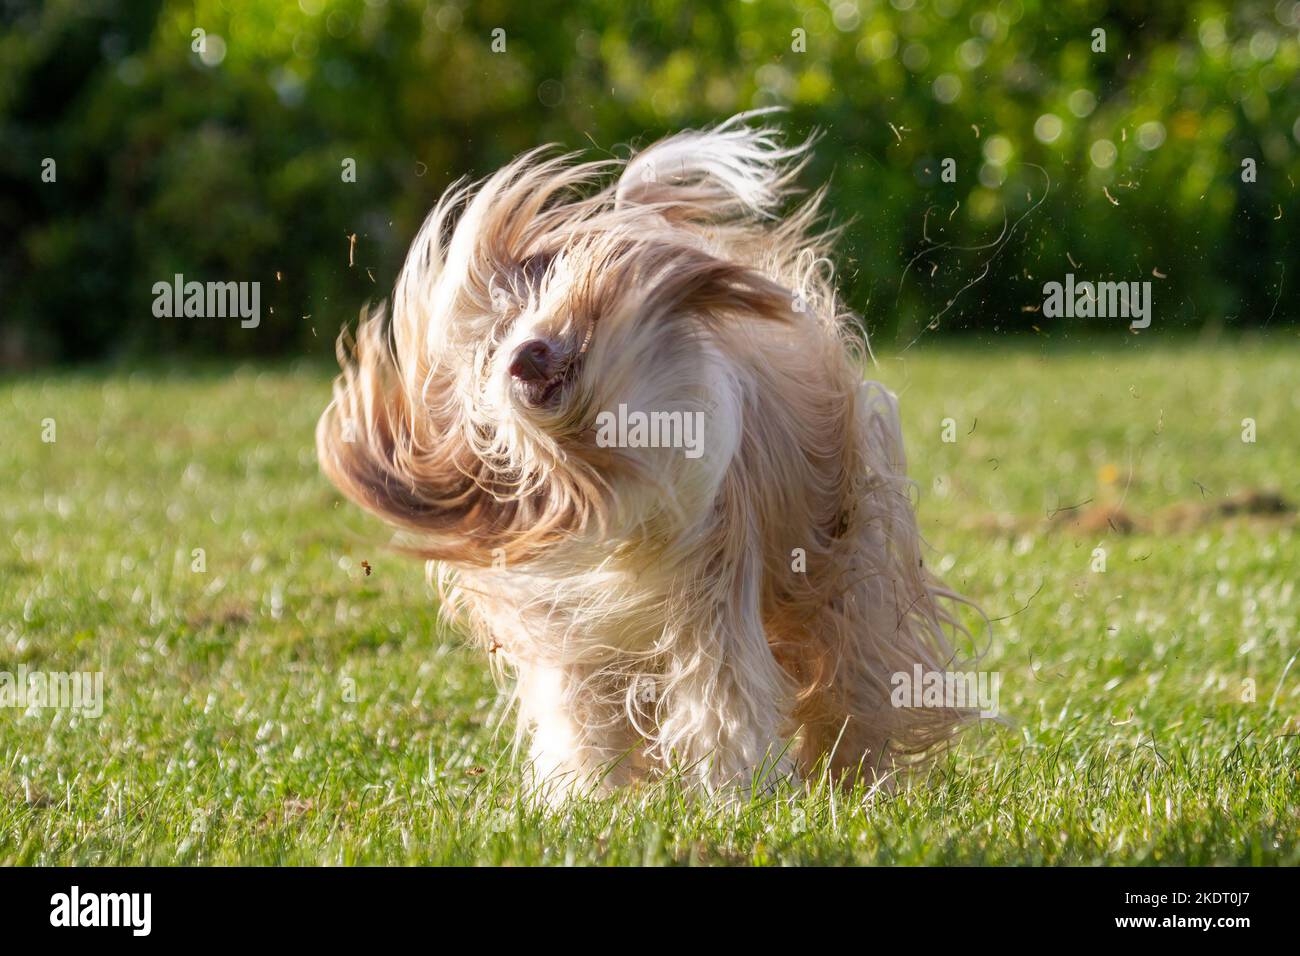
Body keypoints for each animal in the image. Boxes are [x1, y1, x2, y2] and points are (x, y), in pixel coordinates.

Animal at [319, 110, 977, 801]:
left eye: (565, 308)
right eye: (493, 337)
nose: (524, 355)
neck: (602, 471)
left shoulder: (715, 580)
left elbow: (723, 694)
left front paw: (734, 792)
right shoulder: (566, 622)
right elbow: (581, 709)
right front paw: (582, 794)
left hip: (839, 552)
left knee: (850, 657)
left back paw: (852, 768)